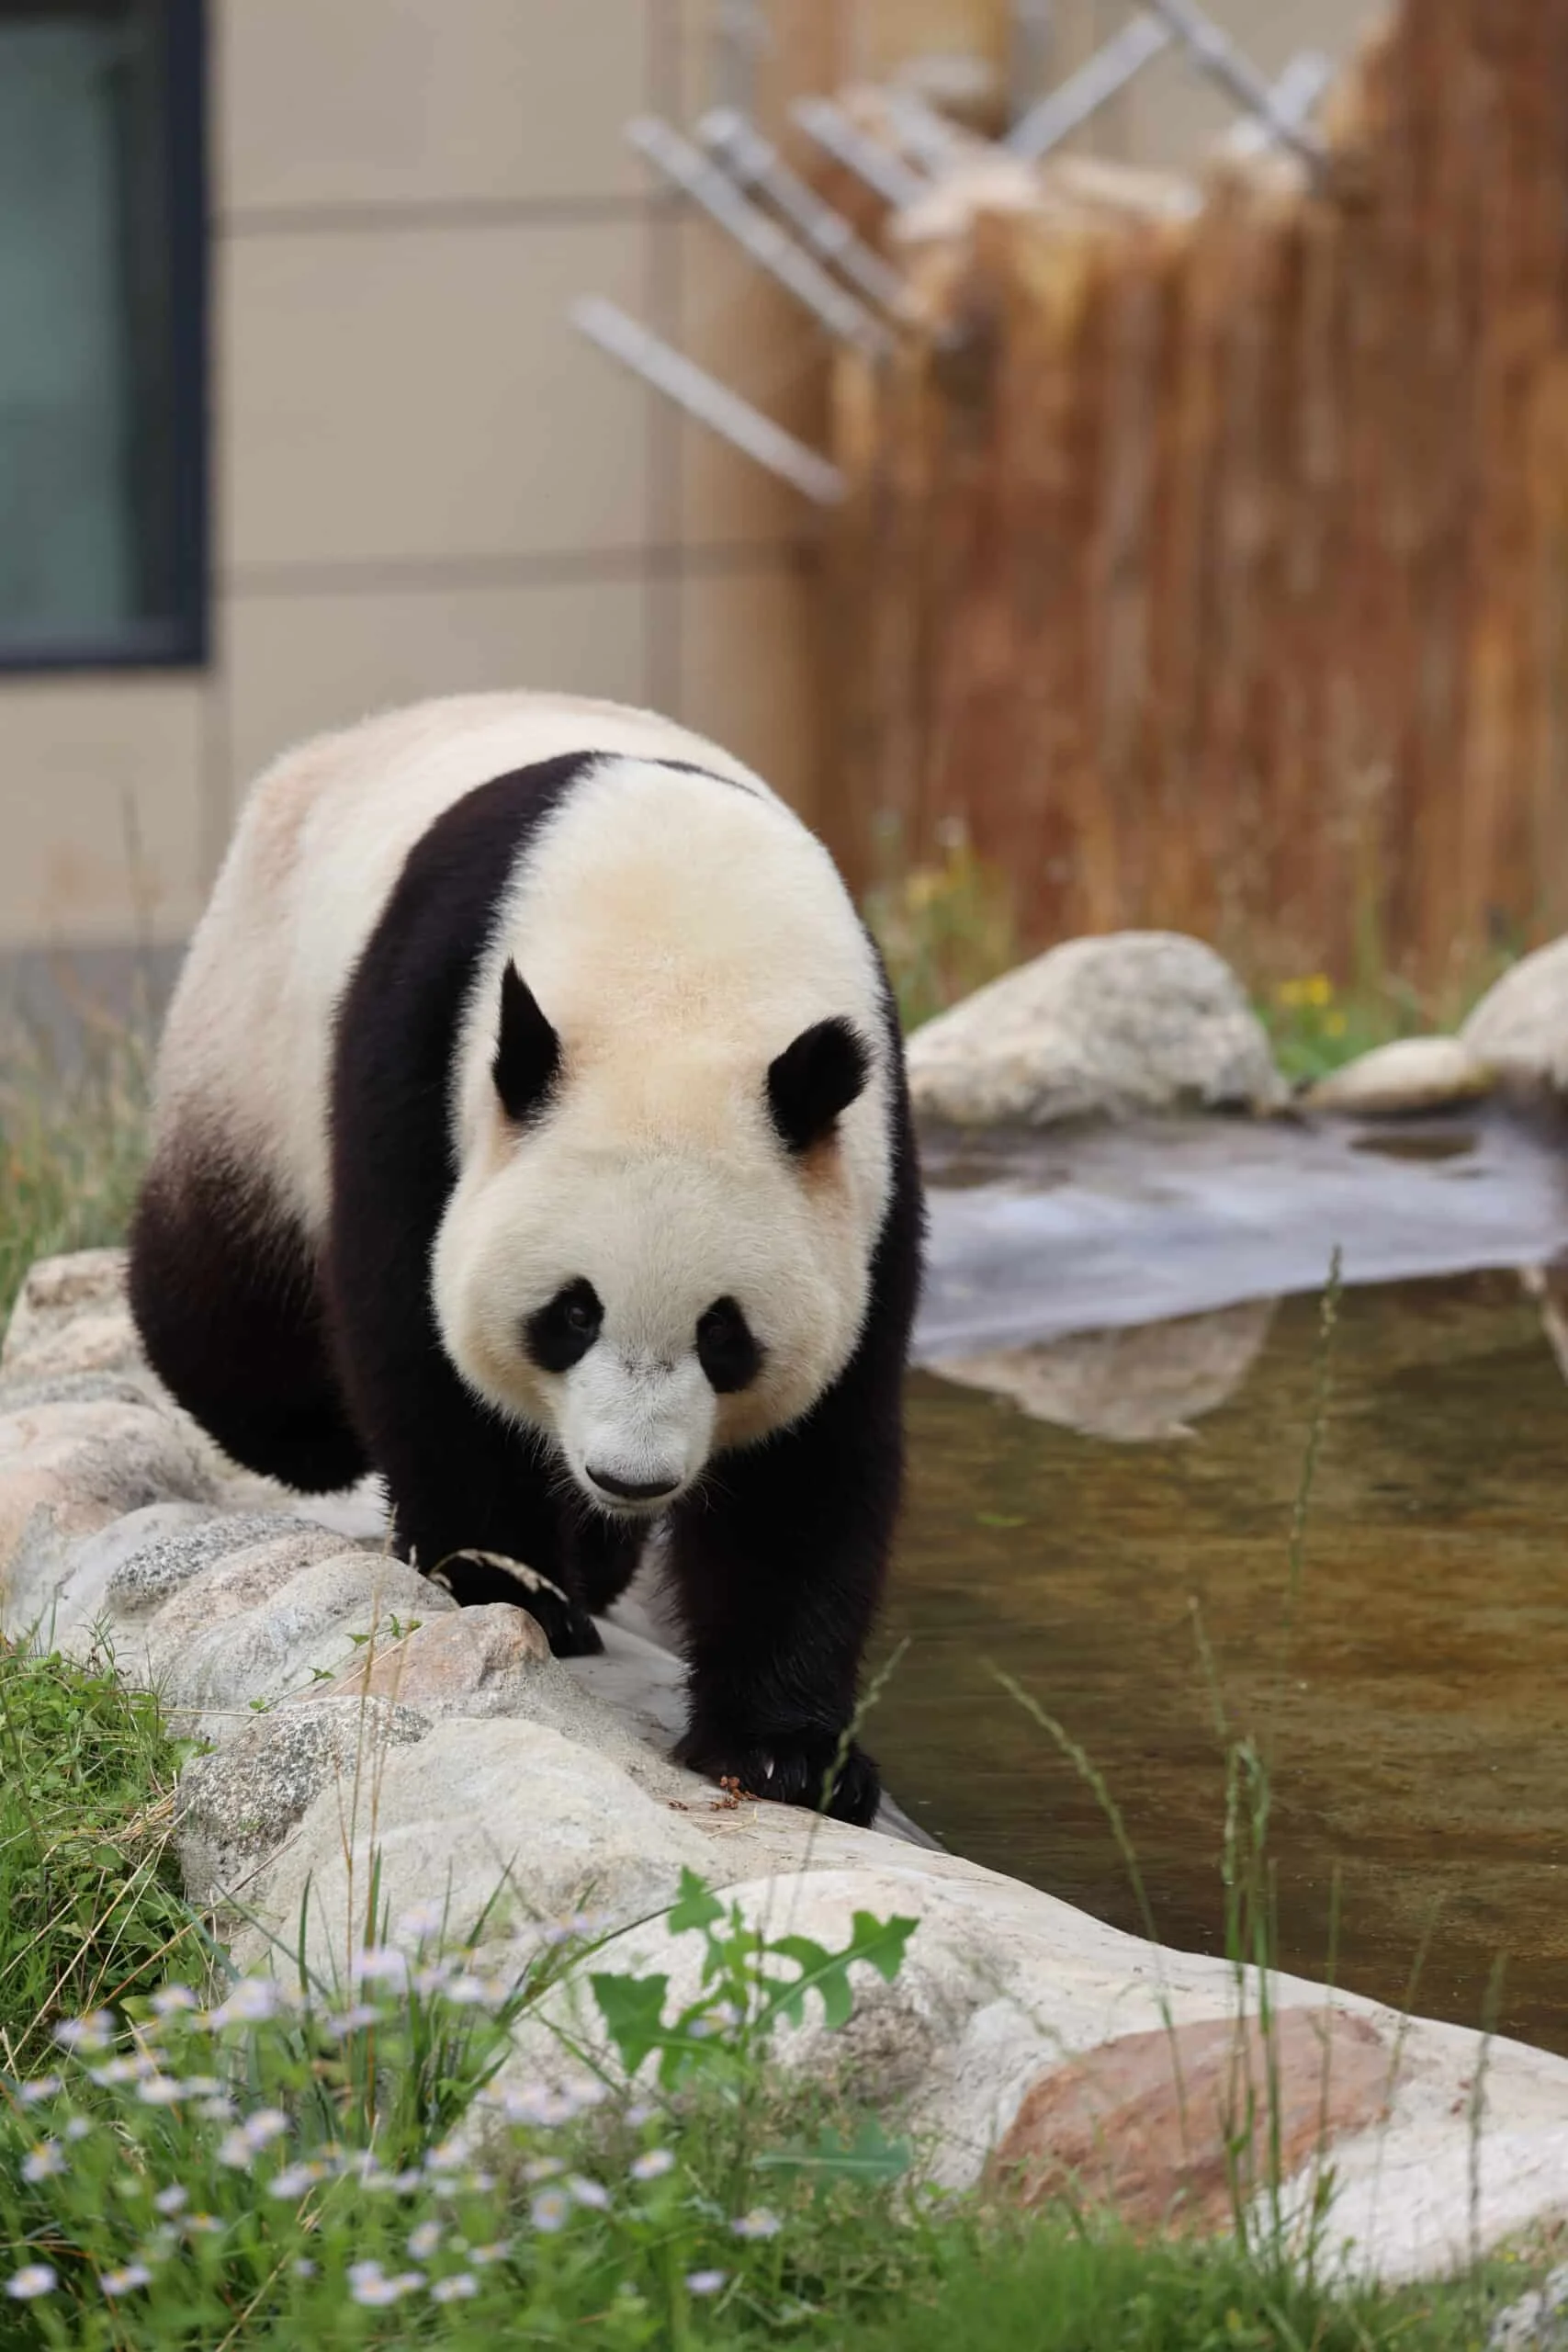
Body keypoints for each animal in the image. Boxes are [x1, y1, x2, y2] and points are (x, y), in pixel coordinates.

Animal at [128, 691, 923, 1826]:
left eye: (725, 1335)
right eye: (572, 1312)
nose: (630, 1475)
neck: (683, 968)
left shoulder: (866, 1167)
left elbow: (808, 1463)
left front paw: (785, 1754)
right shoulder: (427, 1049)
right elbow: (419, 1342)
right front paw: (505, 1589)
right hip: (248, 1040)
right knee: (229, 1322)